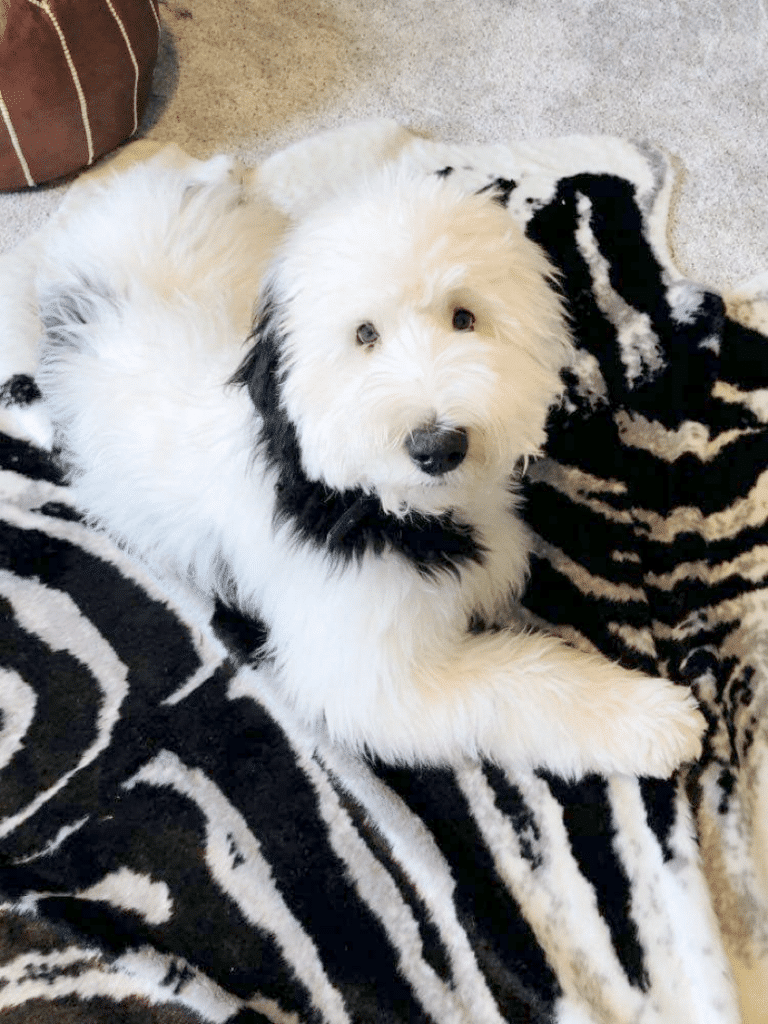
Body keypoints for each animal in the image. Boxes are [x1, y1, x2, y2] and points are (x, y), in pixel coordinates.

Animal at [33, 146, 708, 774]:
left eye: (464, 316)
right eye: (364, 334)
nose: (438, 446)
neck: (367, 501)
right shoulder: (371, 672)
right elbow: (518, 682)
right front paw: (652, 720)